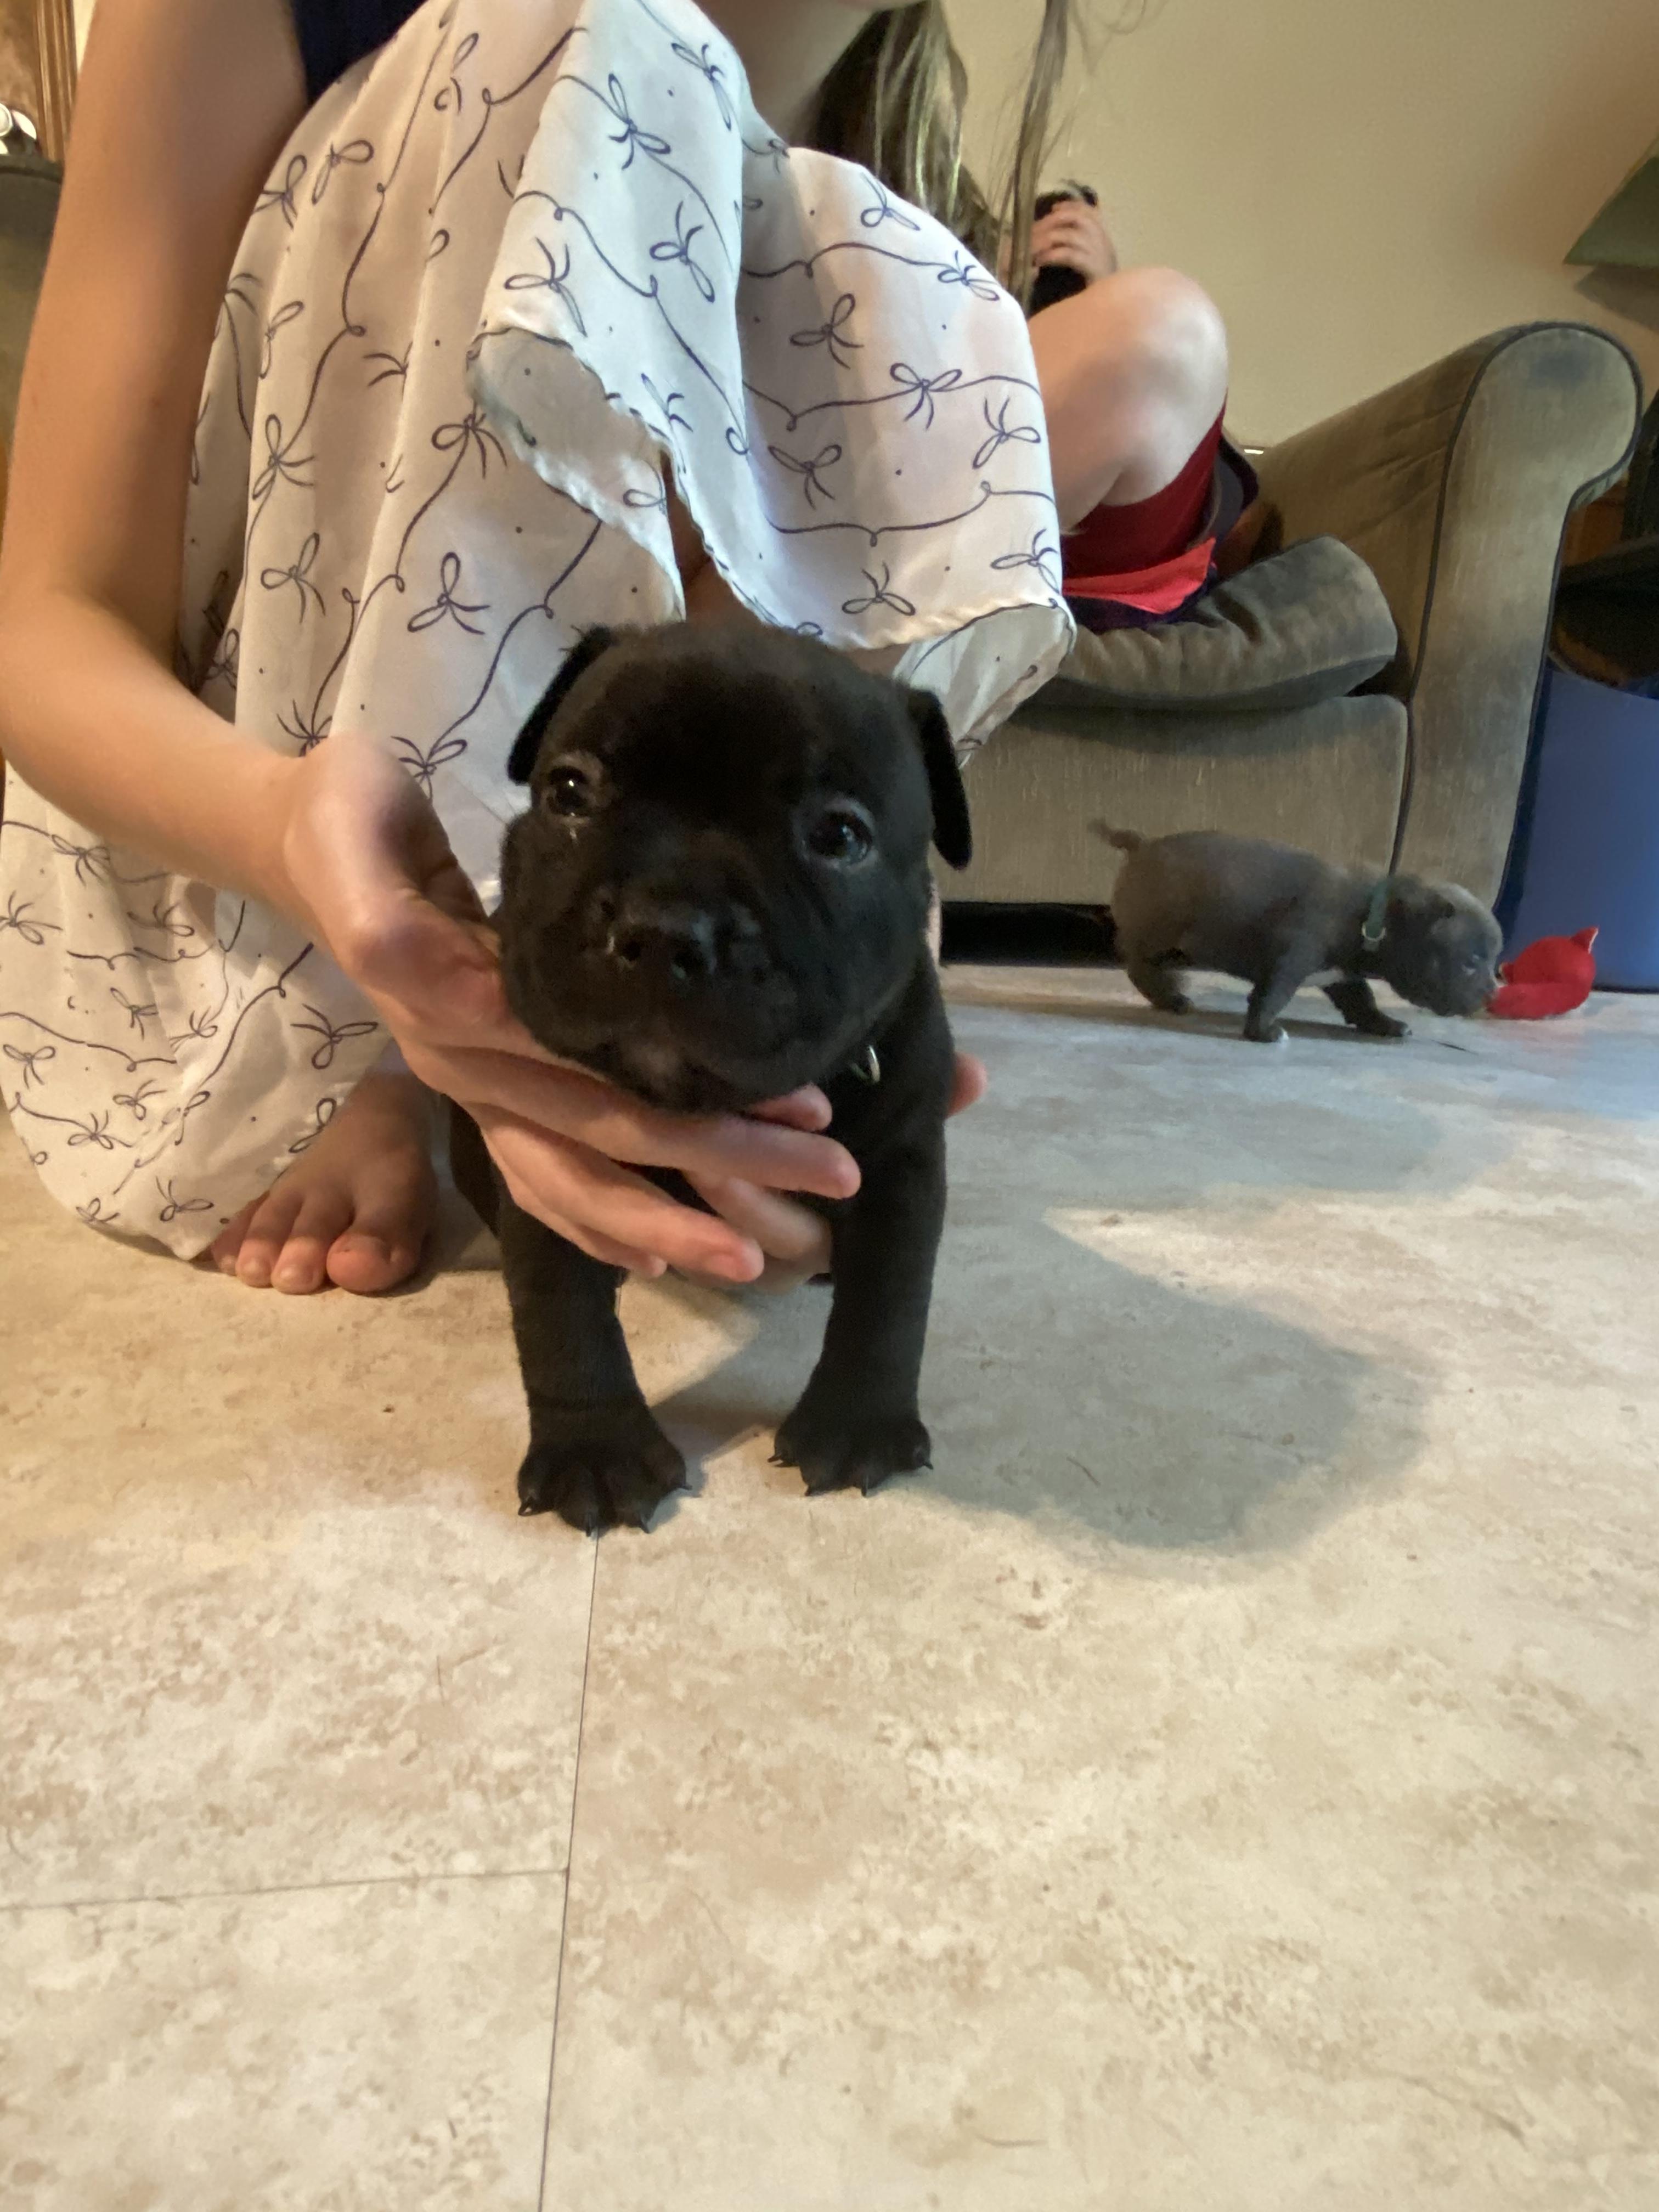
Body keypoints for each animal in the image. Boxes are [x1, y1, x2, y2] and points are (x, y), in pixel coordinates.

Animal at [451, 623, 973, 1534]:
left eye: (842, 837)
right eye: (570, 792)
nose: (663, 928)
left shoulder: (904, 1162)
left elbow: (890, 1298)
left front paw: (857, 1426)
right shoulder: (548, 1170)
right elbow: (560, 1311)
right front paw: (596, 1451)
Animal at [1099, 826, 1502, 1042]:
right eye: (1471, 963)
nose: (1492, 992)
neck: (1377, 918)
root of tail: (1142, 843)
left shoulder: (1343, 976)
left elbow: (1363, 999)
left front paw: (1382, 1024)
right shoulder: (1292, 959)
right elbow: (1273, 994)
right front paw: (1262, 1031)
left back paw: (1170, 997)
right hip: (1163, 934)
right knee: (1137, 962)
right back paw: (1171, 996)